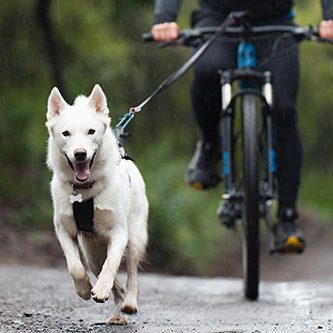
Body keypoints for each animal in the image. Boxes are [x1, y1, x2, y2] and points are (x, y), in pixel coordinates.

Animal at [45, 83, 148, 324]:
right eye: (66, 133)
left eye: (91, 131)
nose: (80, 154)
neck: (84, 191)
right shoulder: (64, 230)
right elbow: (75, 267)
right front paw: (84, 289)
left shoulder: (119, 232)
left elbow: (112, 264)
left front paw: (100, 289)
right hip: (91, 252)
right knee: (106, 274)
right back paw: (118, 311)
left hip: (135, 237)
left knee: (131, 272)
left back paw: (129, 302)